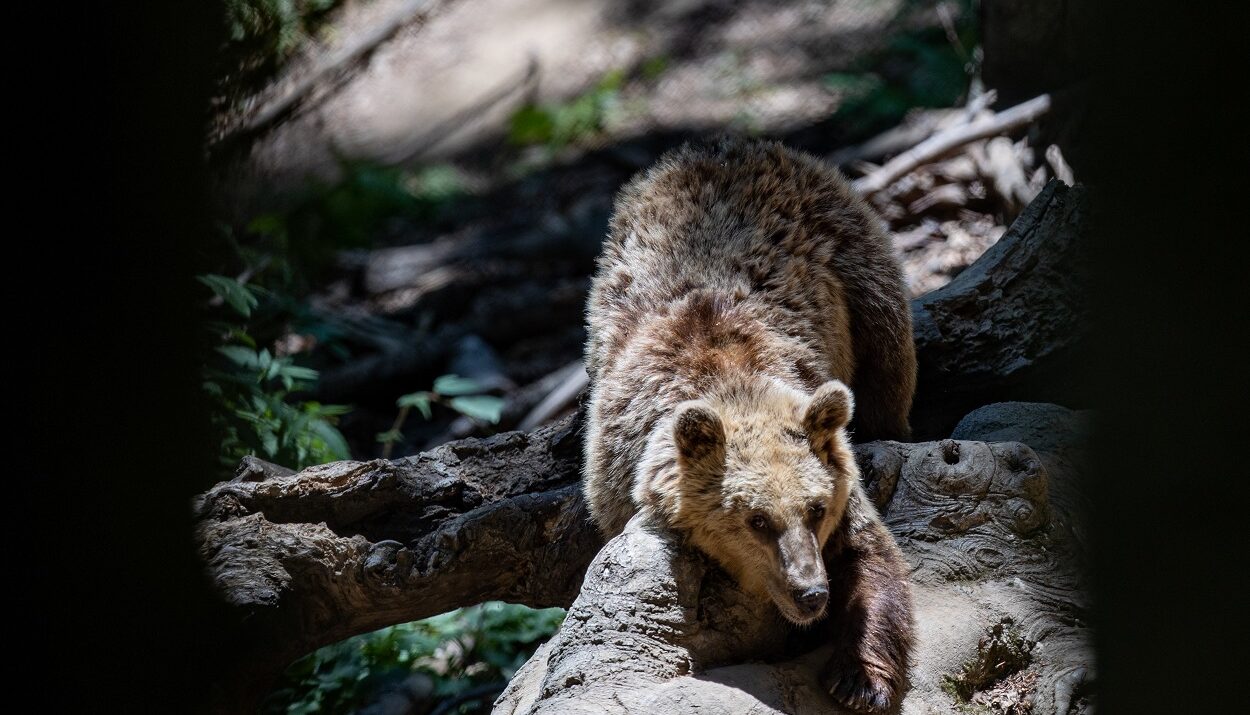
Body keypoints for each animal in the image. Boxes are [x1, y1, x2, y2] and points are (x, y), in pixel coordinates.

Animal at [580, 138, 915, 710]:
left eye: (816, 509)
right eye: (757, 520)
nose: (811, 593)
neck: (730, 383)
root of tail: (723, 145)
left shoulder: (832, 466)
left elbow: (873, 557)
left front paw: (859, 680)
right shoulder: (616, 468)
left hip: (852, 262)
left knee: (889, 360)